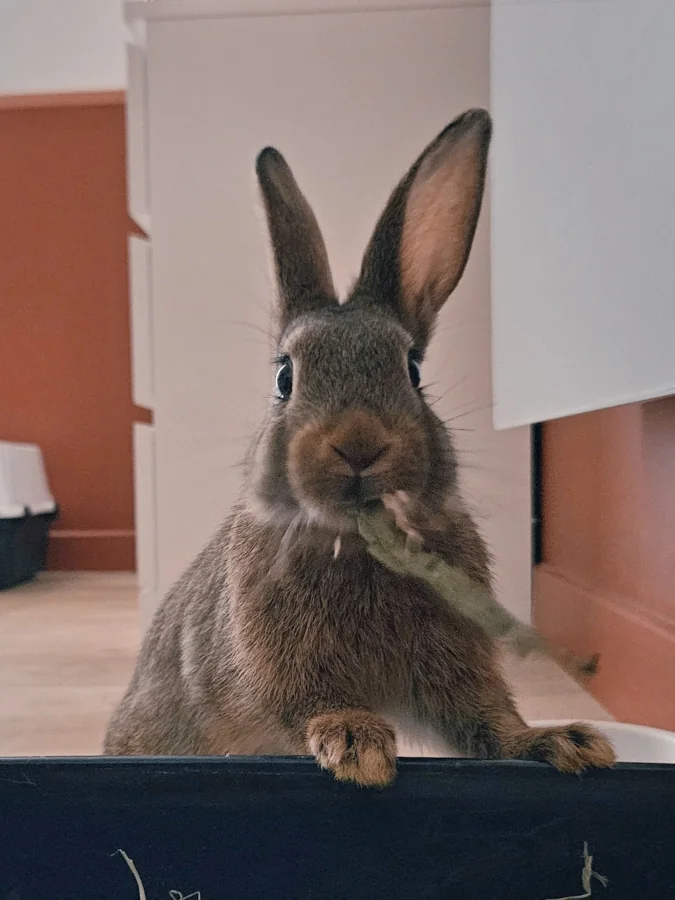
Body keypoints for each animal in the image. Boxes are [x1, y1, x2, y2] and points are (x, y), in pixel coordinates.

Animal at [104, 109, 616, 784]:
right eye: (284, 377)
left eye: (413, 370)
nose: (358, 445)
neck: (357, 540)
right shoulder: (278, 664)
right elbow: (311, 700)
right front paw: (358, 743)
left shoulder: (456, 670)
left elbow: (486, 719)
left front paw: (562, 742)